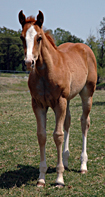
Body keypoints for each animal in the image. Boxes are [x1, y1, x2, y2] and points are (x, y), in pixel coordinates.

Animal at [18, 10, 97, 187]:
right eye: (21, 37)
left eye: (39, 37)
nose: (29, 62)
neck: (45, 72)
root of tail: (85, 47)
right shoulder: (38, 104)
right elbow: (42, 135)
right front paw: (41, 178)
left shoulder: (59, 102)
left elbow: (58, 135)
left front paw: (59, 179)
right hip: (68, 99)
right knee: (68, 121)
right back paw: (66, 161)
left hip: (87, 93)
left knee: (84, 122)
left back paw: (83, 165)